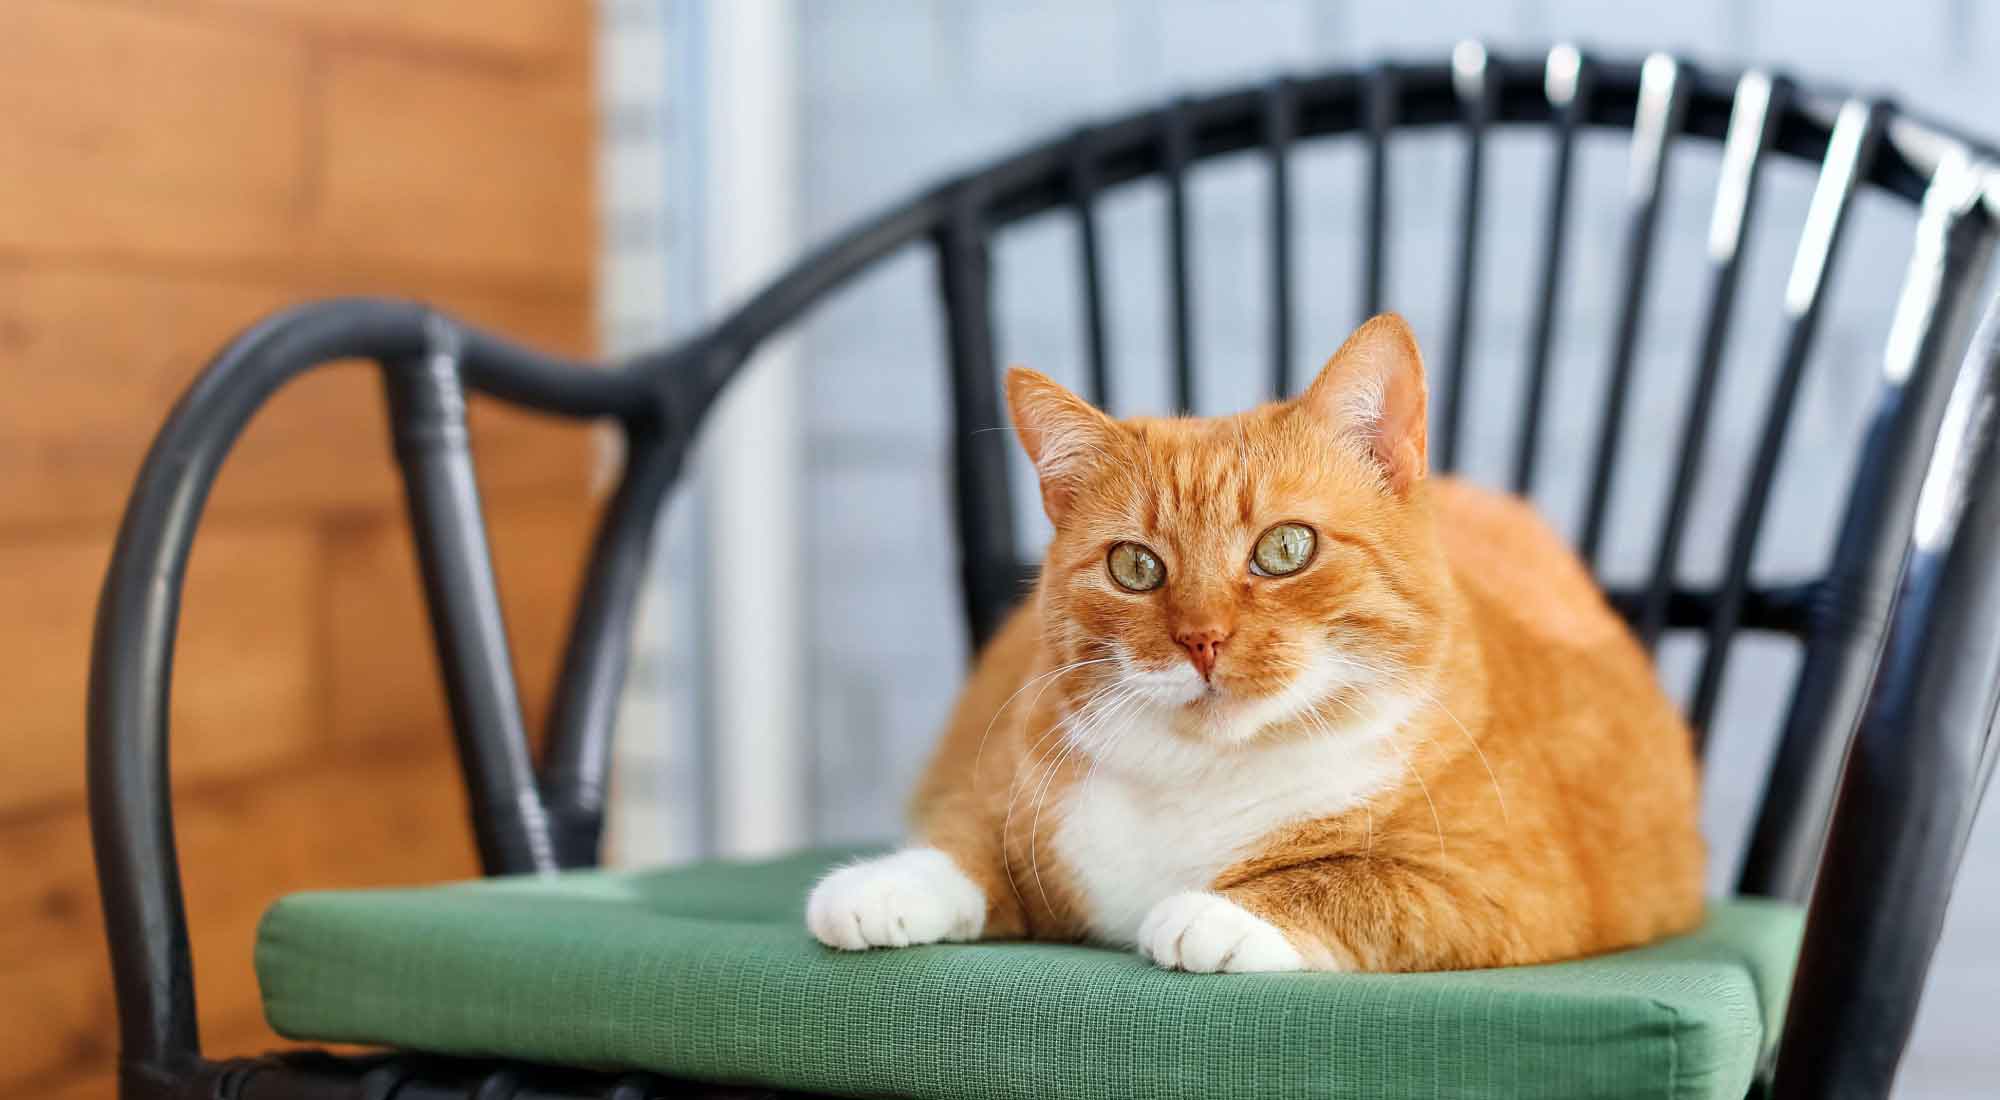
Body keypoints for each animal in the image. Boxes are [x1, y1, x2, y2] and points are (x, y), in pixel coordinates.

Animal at [812, 316, 1704, 976]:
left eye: (1284, 549)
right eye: (1135, 566)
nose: (1201, 639)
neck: (1203, 779)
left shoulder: (1511, 888)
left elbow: (1355, 881)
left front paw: (1221, 913)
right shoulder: (1024, 808)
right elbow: (966, 840)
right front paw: (882, 884)